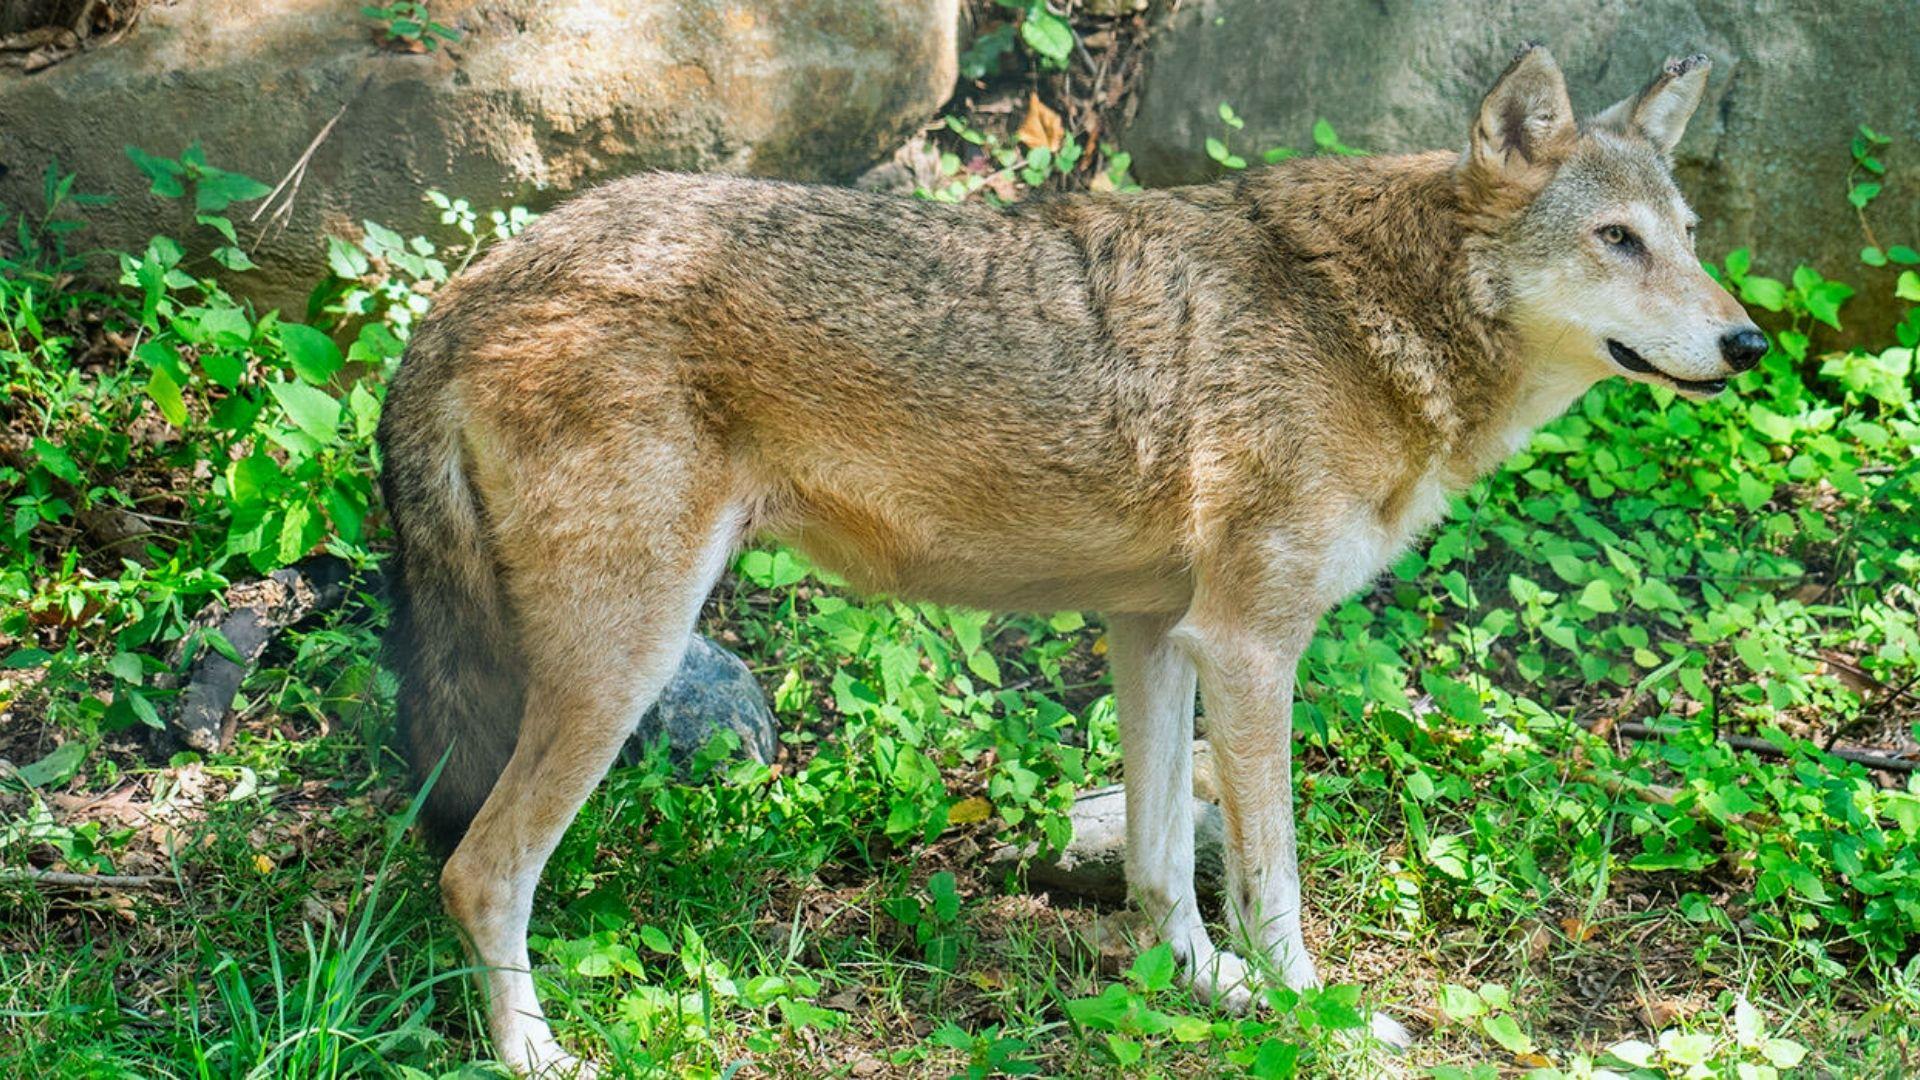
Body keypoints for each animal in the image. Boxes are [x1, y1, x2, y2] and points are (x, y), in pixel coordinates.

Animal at [376, 44, 1762, 1075]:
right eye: (1619, 240)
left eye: (1691, 234)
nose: (1748, 343)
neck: (1369, 320)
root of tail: (467, 286)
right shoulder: (1253, 649)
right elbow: (1275, 887)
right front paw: (1317, 1020)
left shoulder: (1157, 633)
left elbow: (1159, 868)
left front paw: (1206, 995)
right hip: (625, 665)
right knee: (479, 870)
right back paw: (536, 1054)